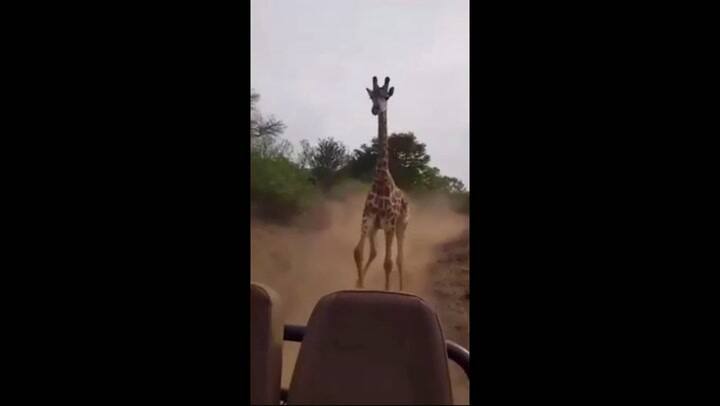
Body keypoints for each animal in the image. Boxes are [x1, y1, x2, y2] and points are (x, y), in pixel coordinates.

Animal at [354, 76, 410, 291]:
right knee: (374, 252)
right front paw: (359, 285)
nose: (376, 109)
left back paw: (402, 289)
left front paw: (387, 291)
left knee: (399, 258)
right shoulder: (367, 219)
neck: (381, 180)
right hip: (377, 228)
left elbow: (388, 263)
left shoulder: (389, 224)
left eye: (386, 96)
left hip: (401, 226)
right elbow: (358, 252)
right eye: (371, 96)